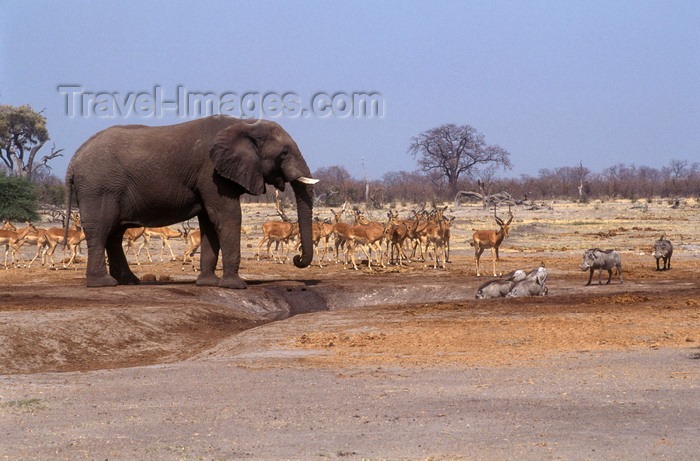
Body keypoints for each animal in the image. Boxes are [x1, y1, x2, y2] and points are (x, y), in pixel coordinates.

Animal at [65, 115, 318, 288]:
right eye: (284, 153)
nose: (297, 259)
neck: (245, 124)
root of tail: (73, 162)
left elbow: (209, 222)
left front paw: (208, 283)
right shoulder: (212, 174)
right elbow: (227, 217)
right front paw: (236, 286)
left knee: (114, 233)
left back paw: (130, 281)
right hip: (99, 188)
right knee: (101, 230)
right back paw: (104, 284)